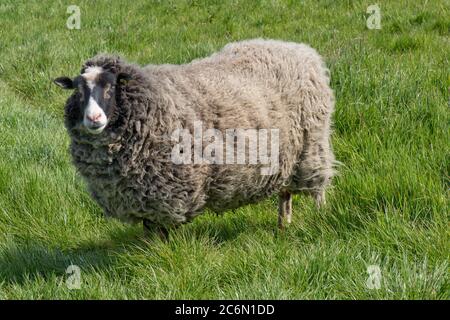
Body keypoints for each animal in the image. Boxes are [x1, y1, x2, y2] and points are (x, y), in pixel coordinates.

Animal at [53, 38, 334, 236]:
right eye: (78, 91)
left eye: (111, 87)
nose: (94, 118)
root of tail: (299, 50)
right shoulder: (143, 198)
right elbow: (149, 233)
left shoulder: (165, 194)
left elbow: (160, 235)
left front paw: (161, 257)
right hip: (286, 156)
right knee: (285, 193)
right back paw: (283, 225)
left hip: (312, 146)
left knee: (318, 187)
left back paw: (320, 217)